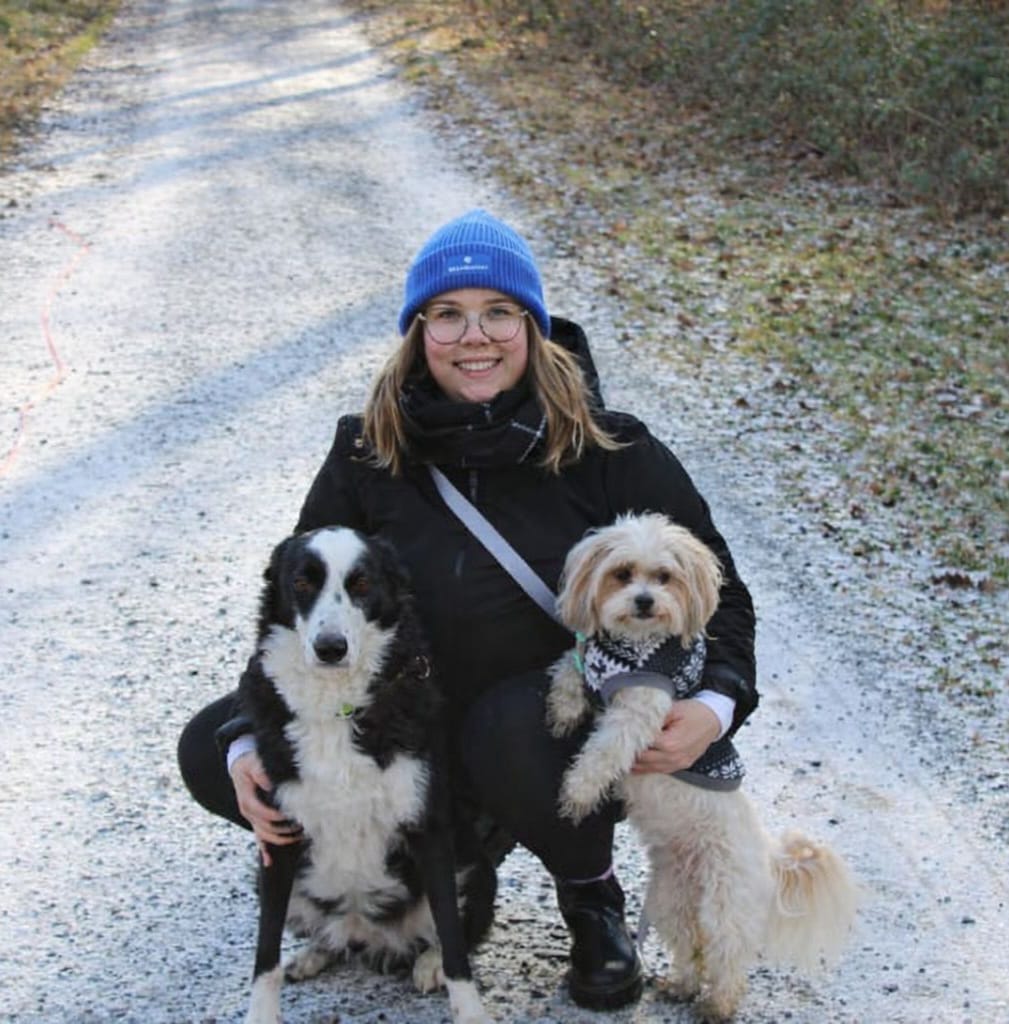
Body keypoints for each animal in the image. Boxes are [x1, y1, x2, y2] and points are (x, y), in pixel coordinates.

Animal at [237, 527, 496, 1024]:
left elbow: (454, 941)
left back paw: (428, 962)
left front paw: (470, 1011)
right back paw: (313, 953)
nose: (330, 648)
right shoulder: (277, 838)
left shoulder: (429, 829)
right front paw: (261, 1013)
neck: (337, 707)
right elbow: (264, 954)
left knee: (449, 929)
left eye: (361, 584)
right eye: (302, 582)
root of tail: (363, 930)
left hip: (474, 865)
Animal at [546, 513, 857, 1021]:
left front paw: (578, 791)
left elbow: (604, 751)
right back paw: (680, 985)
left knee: (727, 955)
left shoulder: (641, 711)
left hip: (725, 902)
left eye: (664, 576)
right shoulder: (585, 662)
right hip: (669, 897)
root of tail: (768, 857)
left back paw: (718, 1004)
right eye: (623, 574)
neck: (632, 646)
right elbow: (567, 672)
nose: (645, 601)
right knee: (690, 946)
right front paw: (565, 710)